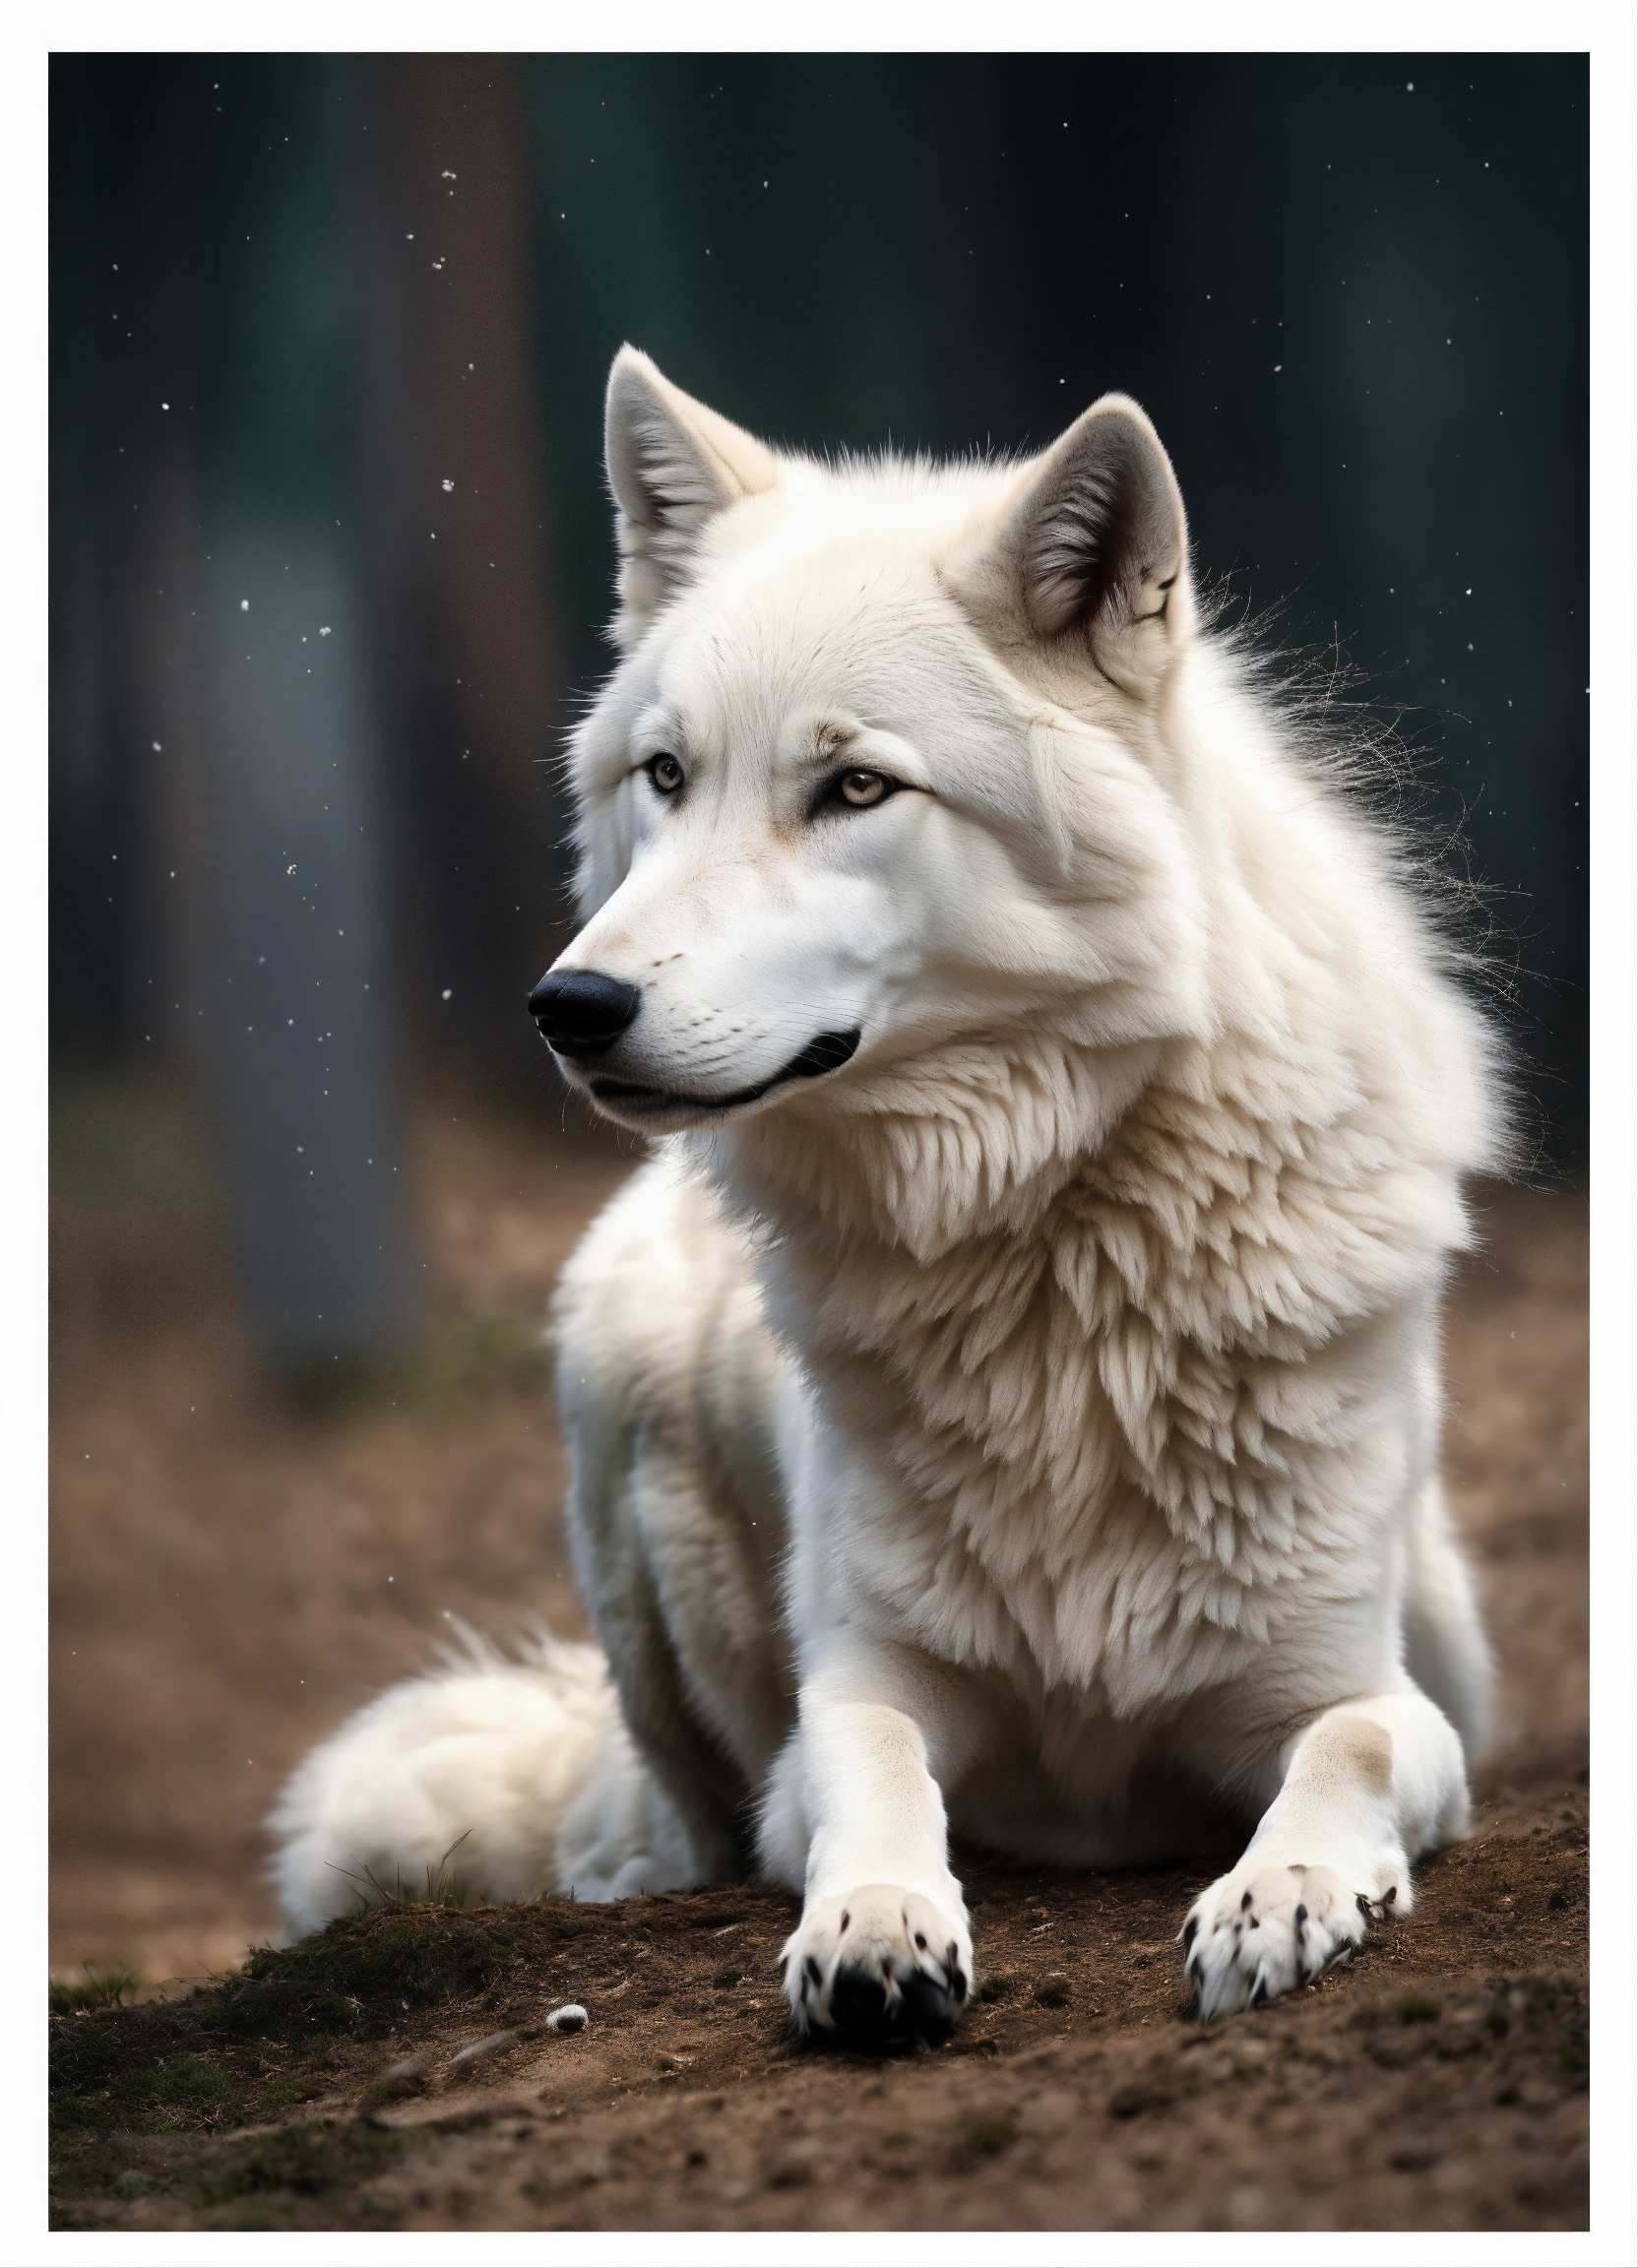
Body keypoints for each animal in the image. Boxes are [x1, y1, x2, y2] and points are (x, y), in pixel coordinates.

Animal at [273, 348, 1504, 2037]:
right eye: (667, 777)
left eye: (855, 787)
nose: (569, 1006)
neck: (1051, 1245)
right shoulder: (858, 1690)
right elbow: (867, 1767)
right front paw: (873, 1925)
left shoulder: (1367, 1688)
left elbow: (1357, 1740)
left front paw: (1283, 1895)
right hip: (623, 1424)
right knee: (662, 1827)